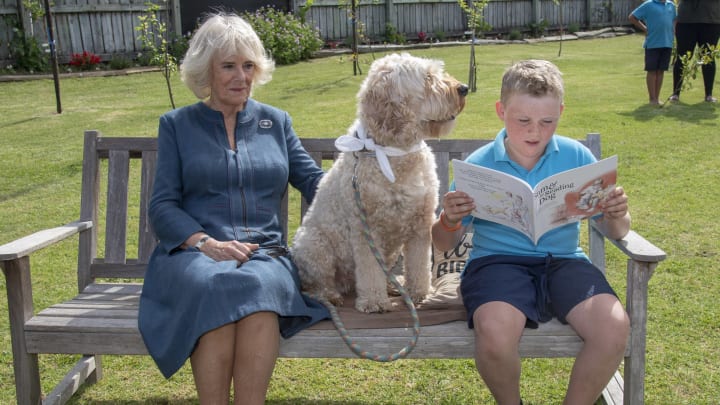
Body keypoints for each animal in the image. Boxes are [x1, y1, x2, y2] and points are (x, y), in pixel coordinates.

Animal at [292, 52, 466, 312]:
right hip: (313, 245)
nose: (463, 88)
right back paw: (331, 295)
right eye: (427, 78)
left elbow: (419, 265)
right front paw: (374, 301)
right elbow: (369, 270)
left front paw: (419, 293)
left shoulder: (420, 225)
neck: (396, 154)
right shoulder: (367, 229)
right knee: (316, 284)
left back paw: (394, 286)